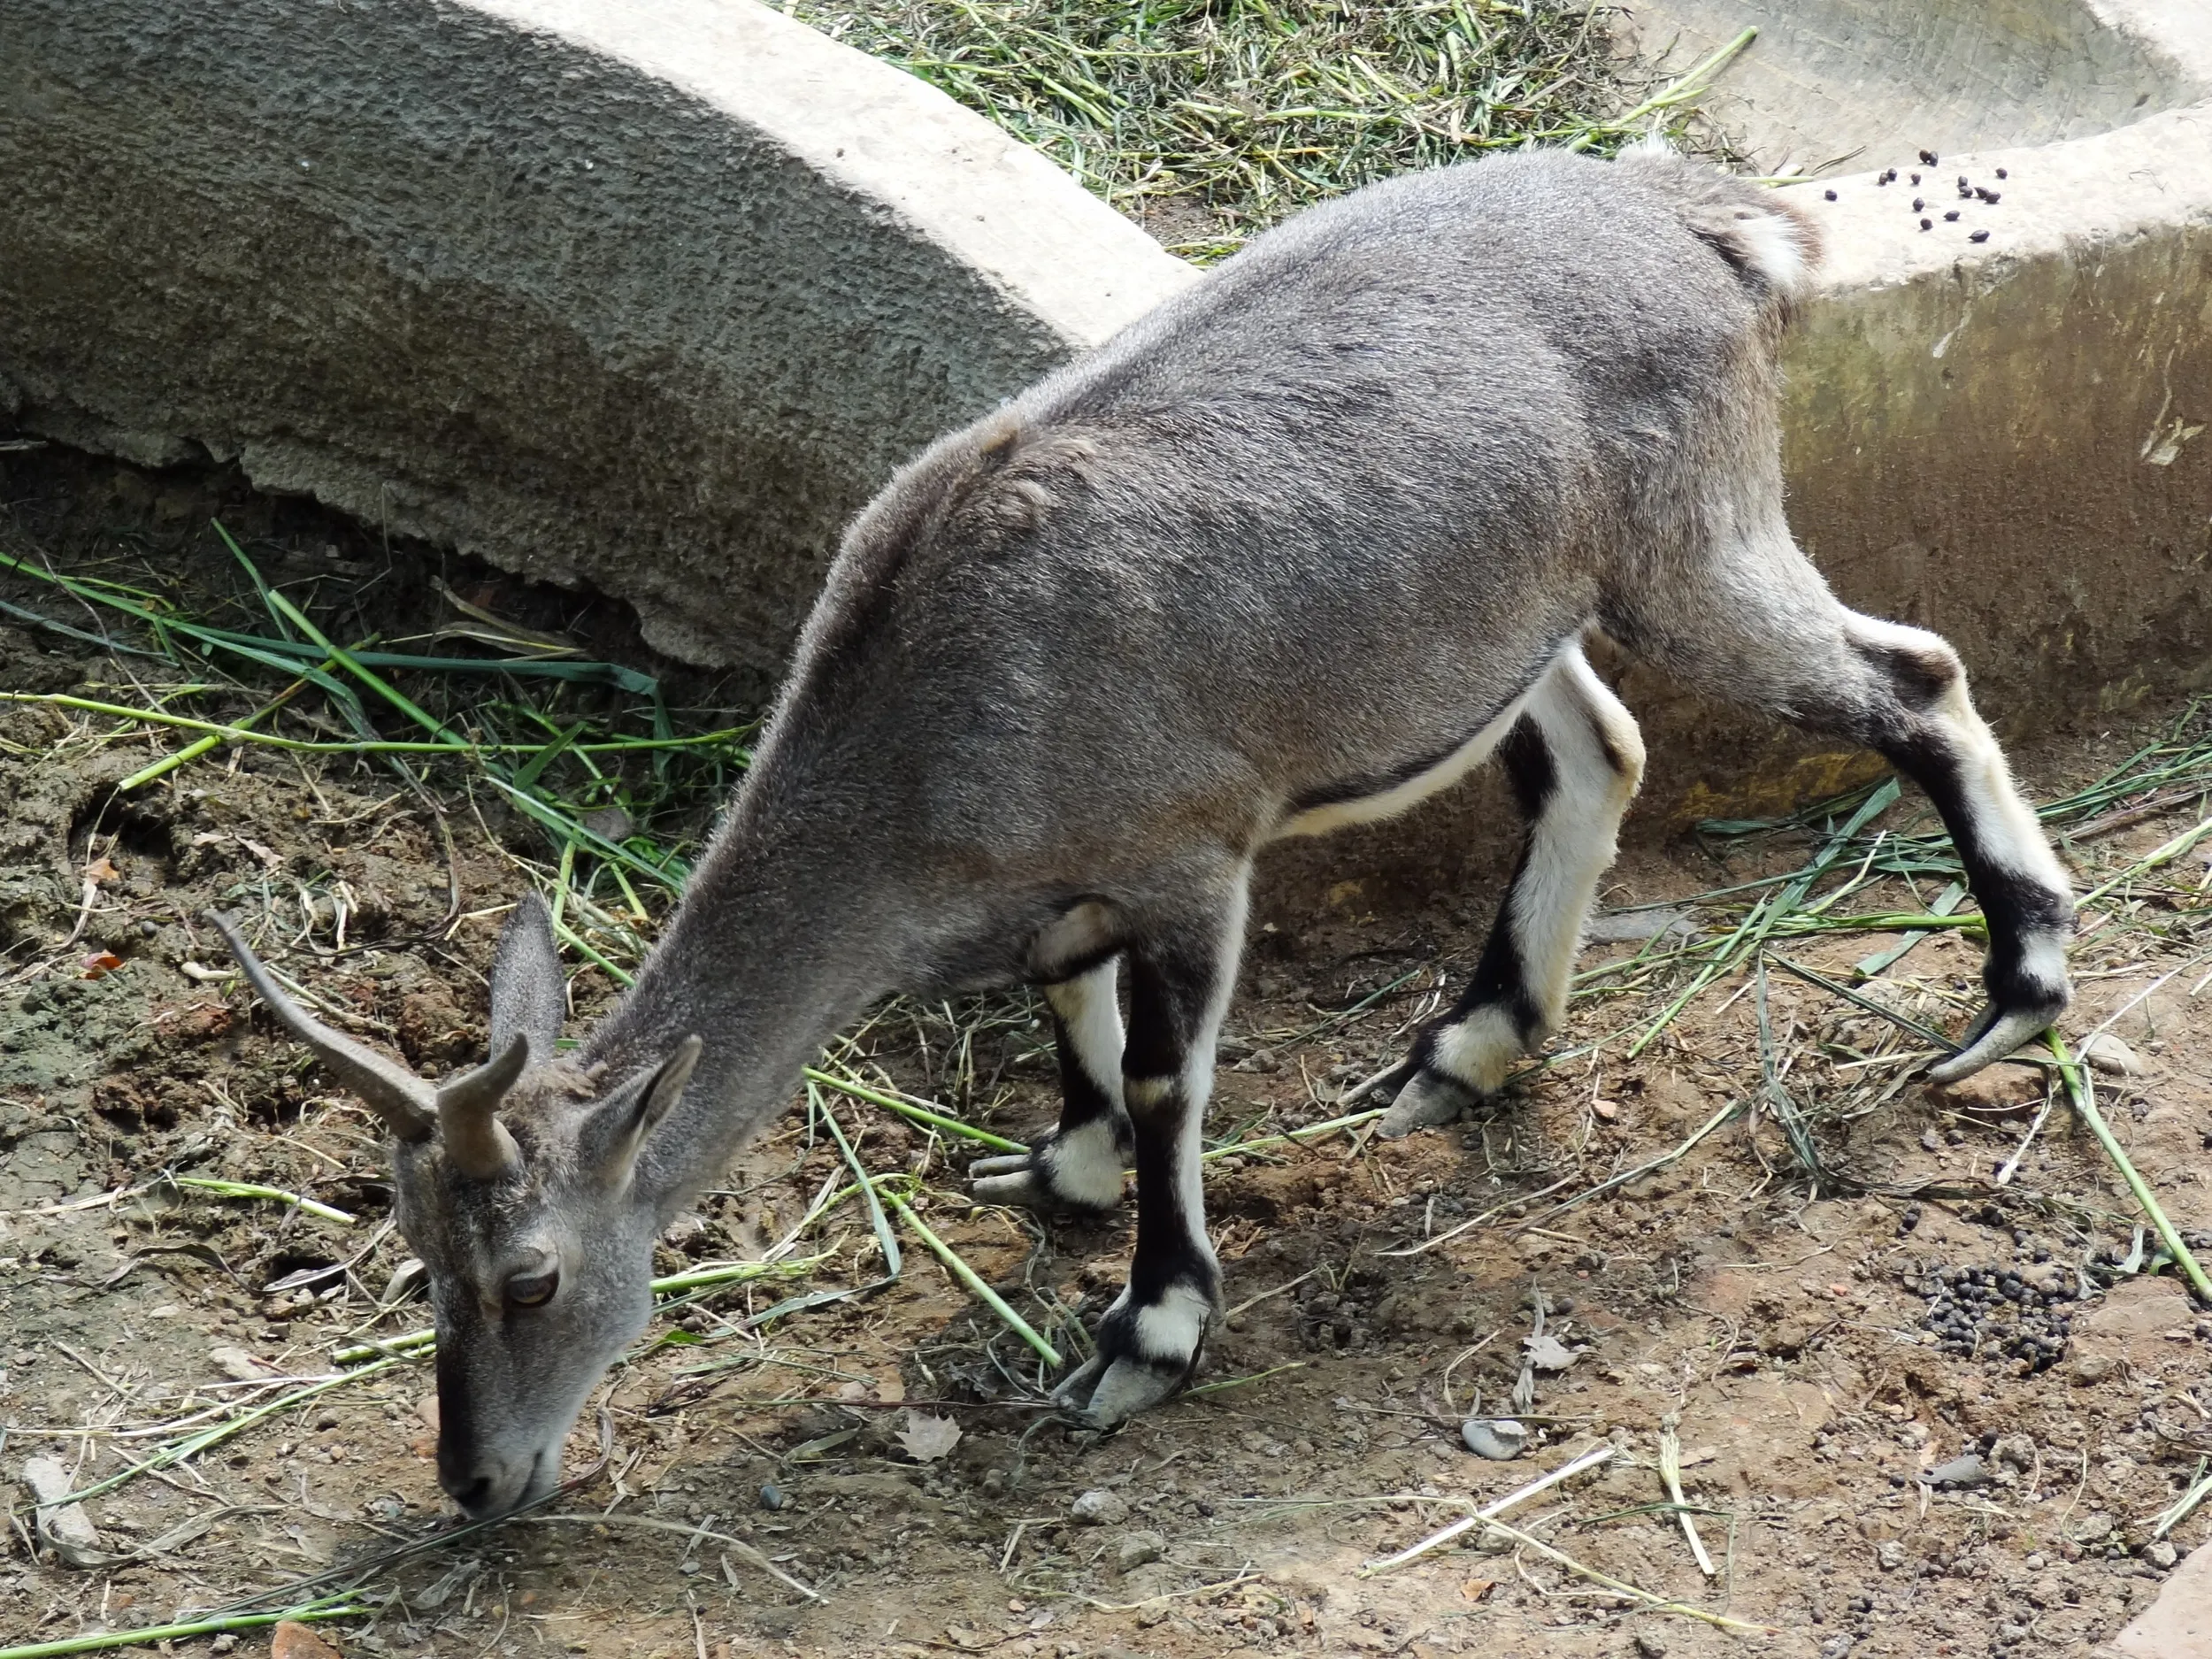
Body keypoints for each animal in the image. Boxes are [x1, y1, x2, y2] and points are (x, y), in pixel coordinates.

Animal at [216, 143, 2075, 1519]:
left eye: (530, 1280)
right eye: (413, 1257)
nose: (475, 1481)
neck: (930, 737)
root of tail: (1708, 227)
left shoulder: (1195, 855)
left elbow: (1181, 1075)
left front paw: (1149, 1328)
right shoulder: (1067, 888)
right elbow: (1073, 1005)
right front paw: (1066, 1164)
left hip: (1697, 541)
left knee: (1912, 678)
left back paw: (2016, 990)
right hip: (1508, 612)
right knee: (1596, 751)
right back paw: (1471, 1046)